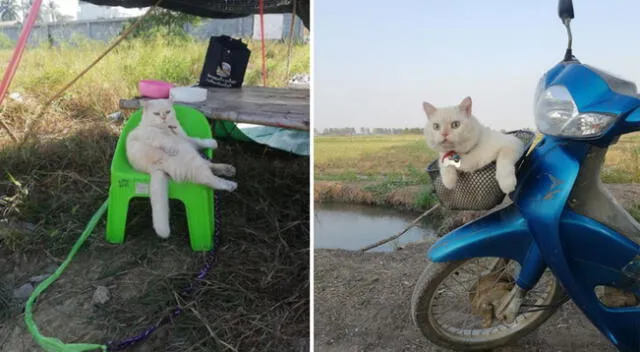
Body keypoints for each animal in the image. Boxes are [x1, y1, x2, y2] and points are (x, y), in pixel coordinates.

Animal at [125, 97, 238, 238]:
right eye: (156, 114)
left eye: (167, 112)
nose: (163, 117)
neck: (168, 129)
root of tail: (155, 169)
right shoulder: (151, 134)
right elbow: (164, 140)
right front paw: (172, 148)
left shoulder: (186, 138)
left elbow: (198, 141)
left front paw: (212, 143)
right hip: (192, 161)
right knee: (209, 178)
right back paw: (230, 185)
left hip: (193, 155)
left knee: (210, 167)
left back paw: (228, 170)